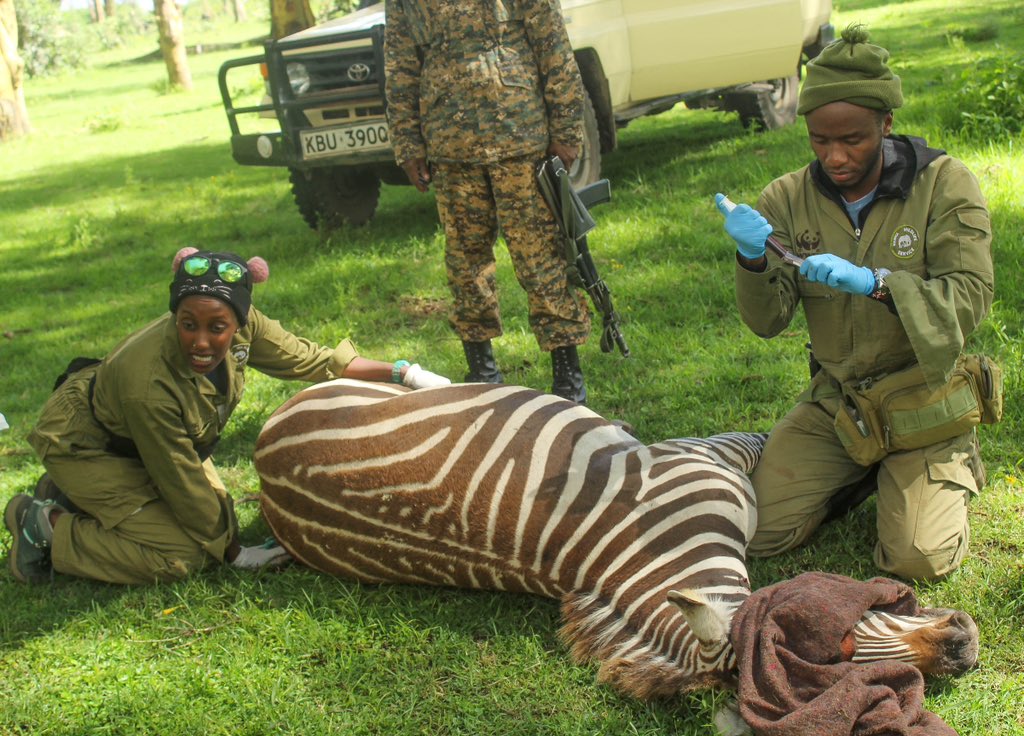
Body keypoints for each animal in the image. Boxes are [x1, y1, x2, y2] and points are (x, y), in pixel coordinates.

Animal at [253, 380, 978, 730]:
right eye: (840, 653)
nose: (964, 647)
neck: (657, 554)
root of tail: (263, 469)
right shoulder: (705, 458)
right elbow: (763, 442)